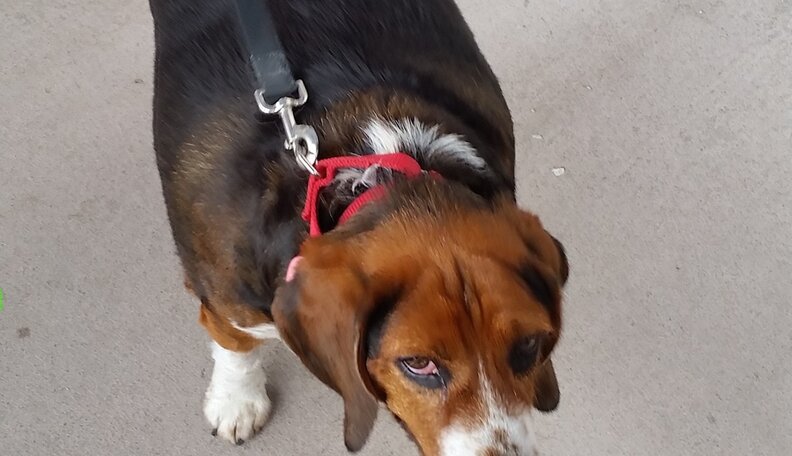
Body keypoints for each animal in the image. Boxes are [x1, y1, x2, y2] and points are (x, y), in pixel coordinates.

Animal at [149, 1, 569, 454]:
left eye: (529, 345)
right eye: (418, 364)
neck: (377, 170)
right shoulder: (227, 303)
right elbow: (234, 345)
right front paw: (236, 401)